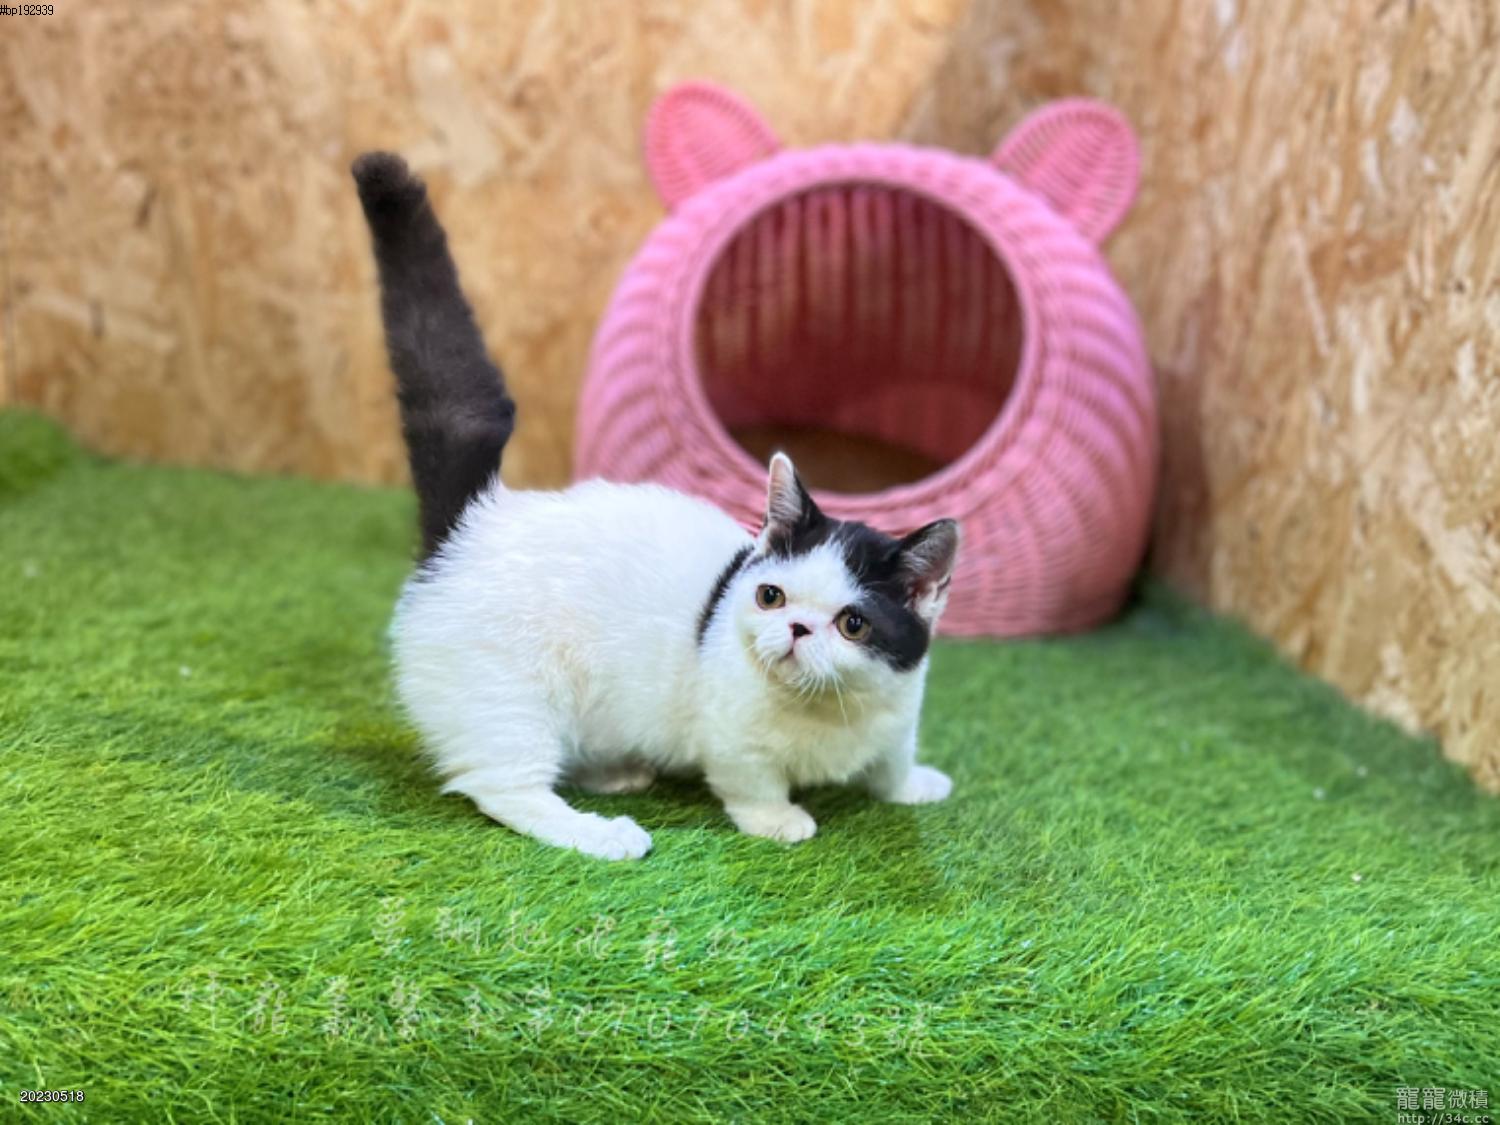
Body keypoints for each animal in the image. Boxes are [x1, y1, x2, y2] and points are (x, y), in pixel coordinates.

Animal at [351, 151, 960, 860]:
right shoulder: (729, 734)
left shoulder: (900, 707)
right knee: (504, 785)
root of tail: (475, 521)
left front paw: (912, 784)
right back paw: (598, 831)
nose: (796, 629)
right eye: (771, 597)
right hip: (507, 693)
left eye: (853, 624)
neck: (828, 708)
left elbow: (892, 758)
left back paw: (615, 770)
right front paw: (779, 819)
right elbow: (751, 780)